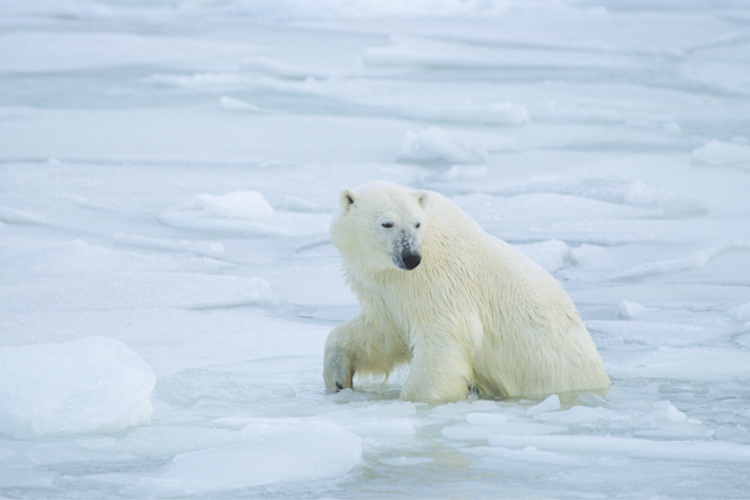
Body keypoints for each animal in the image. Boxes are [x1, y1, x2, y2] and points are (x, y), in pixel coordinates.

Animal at [323, 181, 611, 403]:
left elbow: (443, 340)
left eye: (416, 224)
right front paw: (337, 379)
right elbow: (381, 333)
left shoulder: (441, 284)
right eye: (387, 224)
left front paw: (415, 399)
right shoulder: (388, 292)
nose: (411, 257)